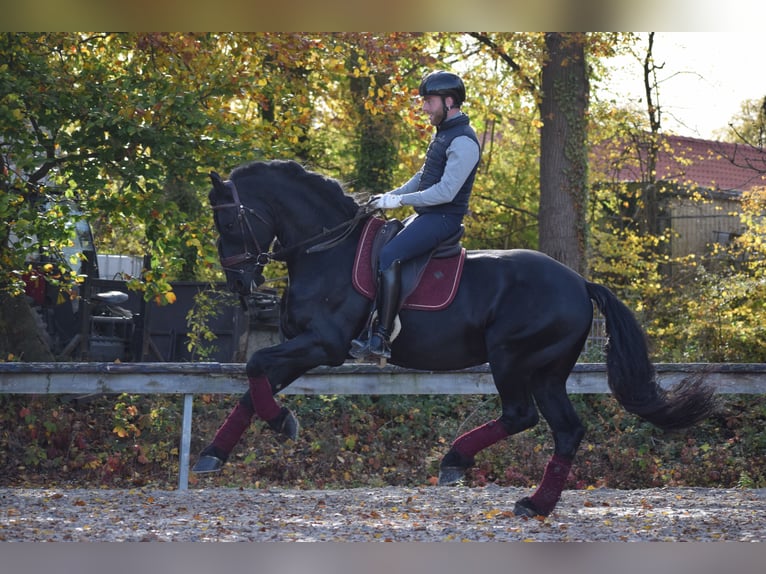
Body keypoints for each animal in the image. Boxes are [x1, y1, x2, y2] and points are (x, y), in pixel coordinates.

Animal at [193, 159, 716, 517]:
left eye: (228, 221)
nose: (240, 284)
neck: (327, 249)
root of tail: (579, 283)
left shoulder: (324, 345)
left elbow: (255, 367)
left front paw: (281, 423)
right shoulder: (304, 348)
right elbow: (254, 385)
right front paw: (213, 455)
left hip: (511, 358)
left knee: (521, 415)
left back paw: (457, 460)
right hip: (547, 371)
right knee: (566, 429)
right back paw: (535, 504)